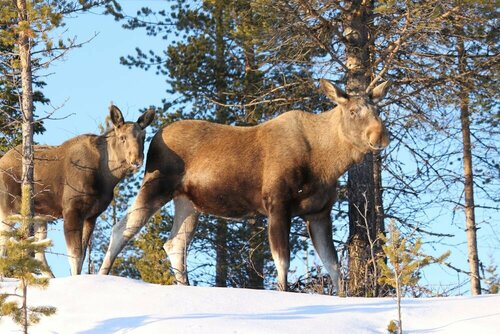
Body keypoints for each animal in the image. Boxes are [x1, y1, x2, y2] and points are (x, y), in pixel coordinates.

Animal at [0, 105, 154, 276]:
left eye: (143, 137)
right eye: (122, 137)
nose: (137, 160)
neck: (107, 177)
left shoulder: (91, 216)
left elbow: (82, 255)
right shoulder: (72, 210)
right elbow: (75, 255)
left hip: (40, 217)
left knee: (39, 252)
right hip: (8, 208)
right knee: (5, 244)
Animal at [99, 79, 390, 292]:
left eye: (378, 110)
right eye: (353, 111)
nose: (380, 136)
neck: (326, 163)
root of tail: (155, 137)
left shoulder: (319, 213)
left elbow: (334, 266)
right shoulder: (277, 204)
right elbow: (282, 263)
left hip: (188, 202)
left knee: (174, 244)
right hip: (156, 185)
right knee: (122, 228)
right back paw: (101, 275)